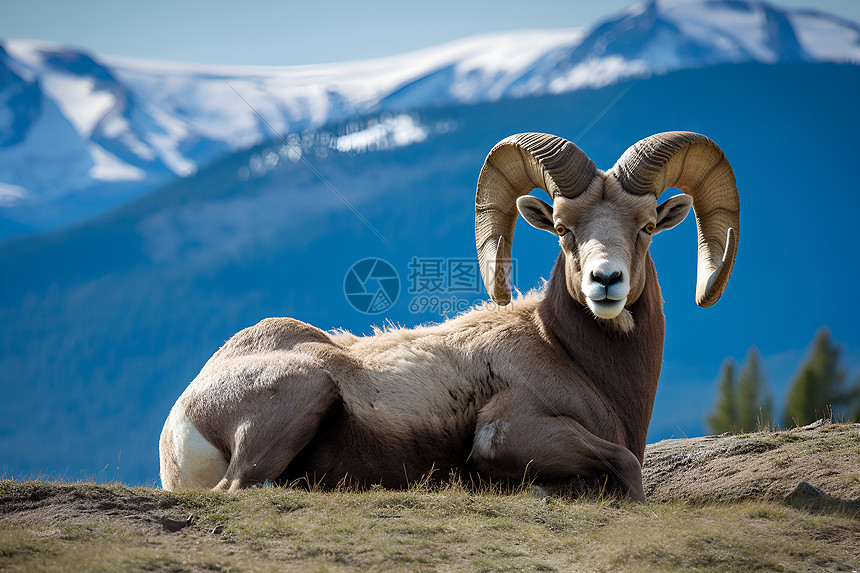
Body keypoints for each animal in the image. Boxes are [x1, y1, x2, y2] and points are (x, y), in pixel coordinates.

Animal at [160, 132, 740, 498]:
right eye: (562, 228)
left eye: (646, 227)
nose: (605, 281)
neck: (570, 357)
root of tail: (181, 423)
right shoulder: (508, 430)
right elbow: (627, 468)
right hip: (306, 388)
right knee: (238, 488)